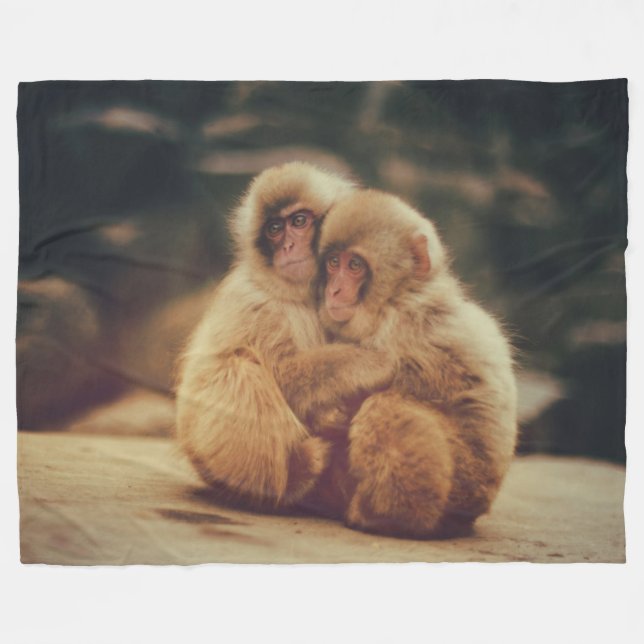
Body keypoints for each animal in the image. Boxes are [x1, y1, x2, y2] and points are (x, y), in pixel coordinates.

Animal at [175, 163, 396, 510]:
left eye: (299, 221)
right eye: (275, 229)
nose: (288, 246)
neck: (299, 293)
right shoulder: (257, 305)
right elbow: (283, 374)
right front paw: (370, 363)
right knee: (238, 369)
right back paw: (293, 475)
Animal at [307, 189, 518, 538]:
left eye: (354, 265)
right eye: (334, 263)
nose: (333, 291)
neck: (399, 297)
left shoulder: (401, 328)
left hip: (464, 486)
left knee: (385, 407)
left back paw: (387, 516)